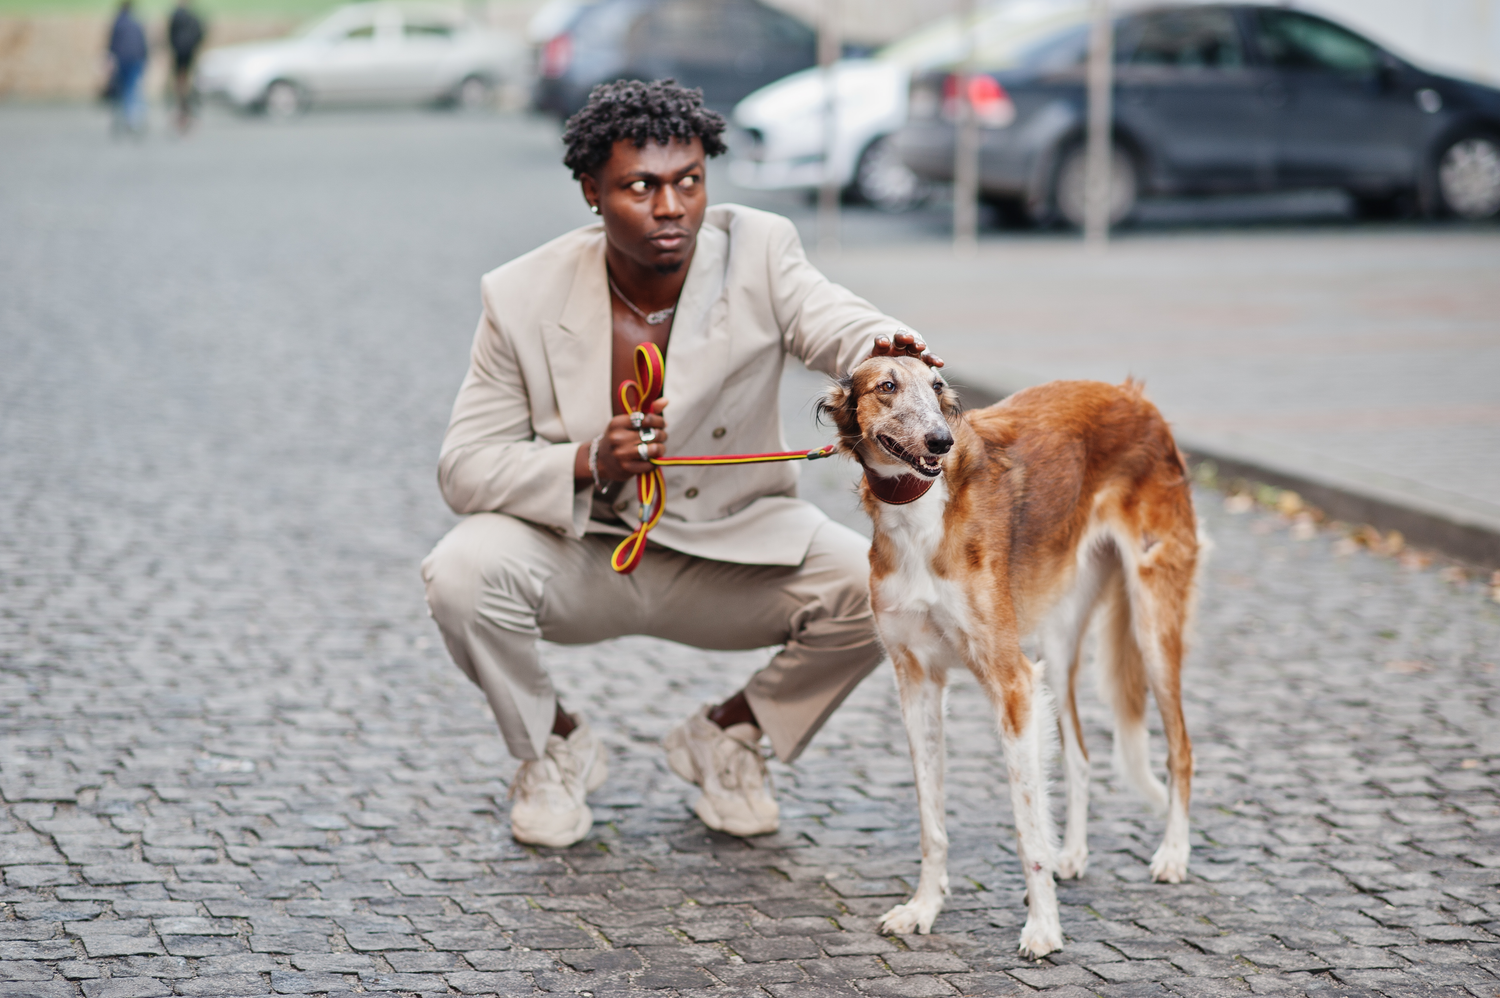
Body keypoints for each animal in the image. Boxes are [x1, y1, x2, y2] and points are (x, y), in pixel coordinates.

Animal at [828, 354, 1200, 954]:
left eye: (937, 386)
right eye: (887, 386)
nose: (940, 441)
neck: (923, 516)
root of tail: (1135, 397)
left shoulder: (1012, 681)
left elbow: (1027, 830)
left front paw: (1043, 929)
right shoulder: (917, 681)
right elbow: (931, 821)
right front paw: (923, 909)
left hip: (1152, 620)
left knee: (1180, 749)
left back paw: (1173, 855)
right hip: (1059, 637)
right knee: (1079, 755)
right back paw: (1074, 854)